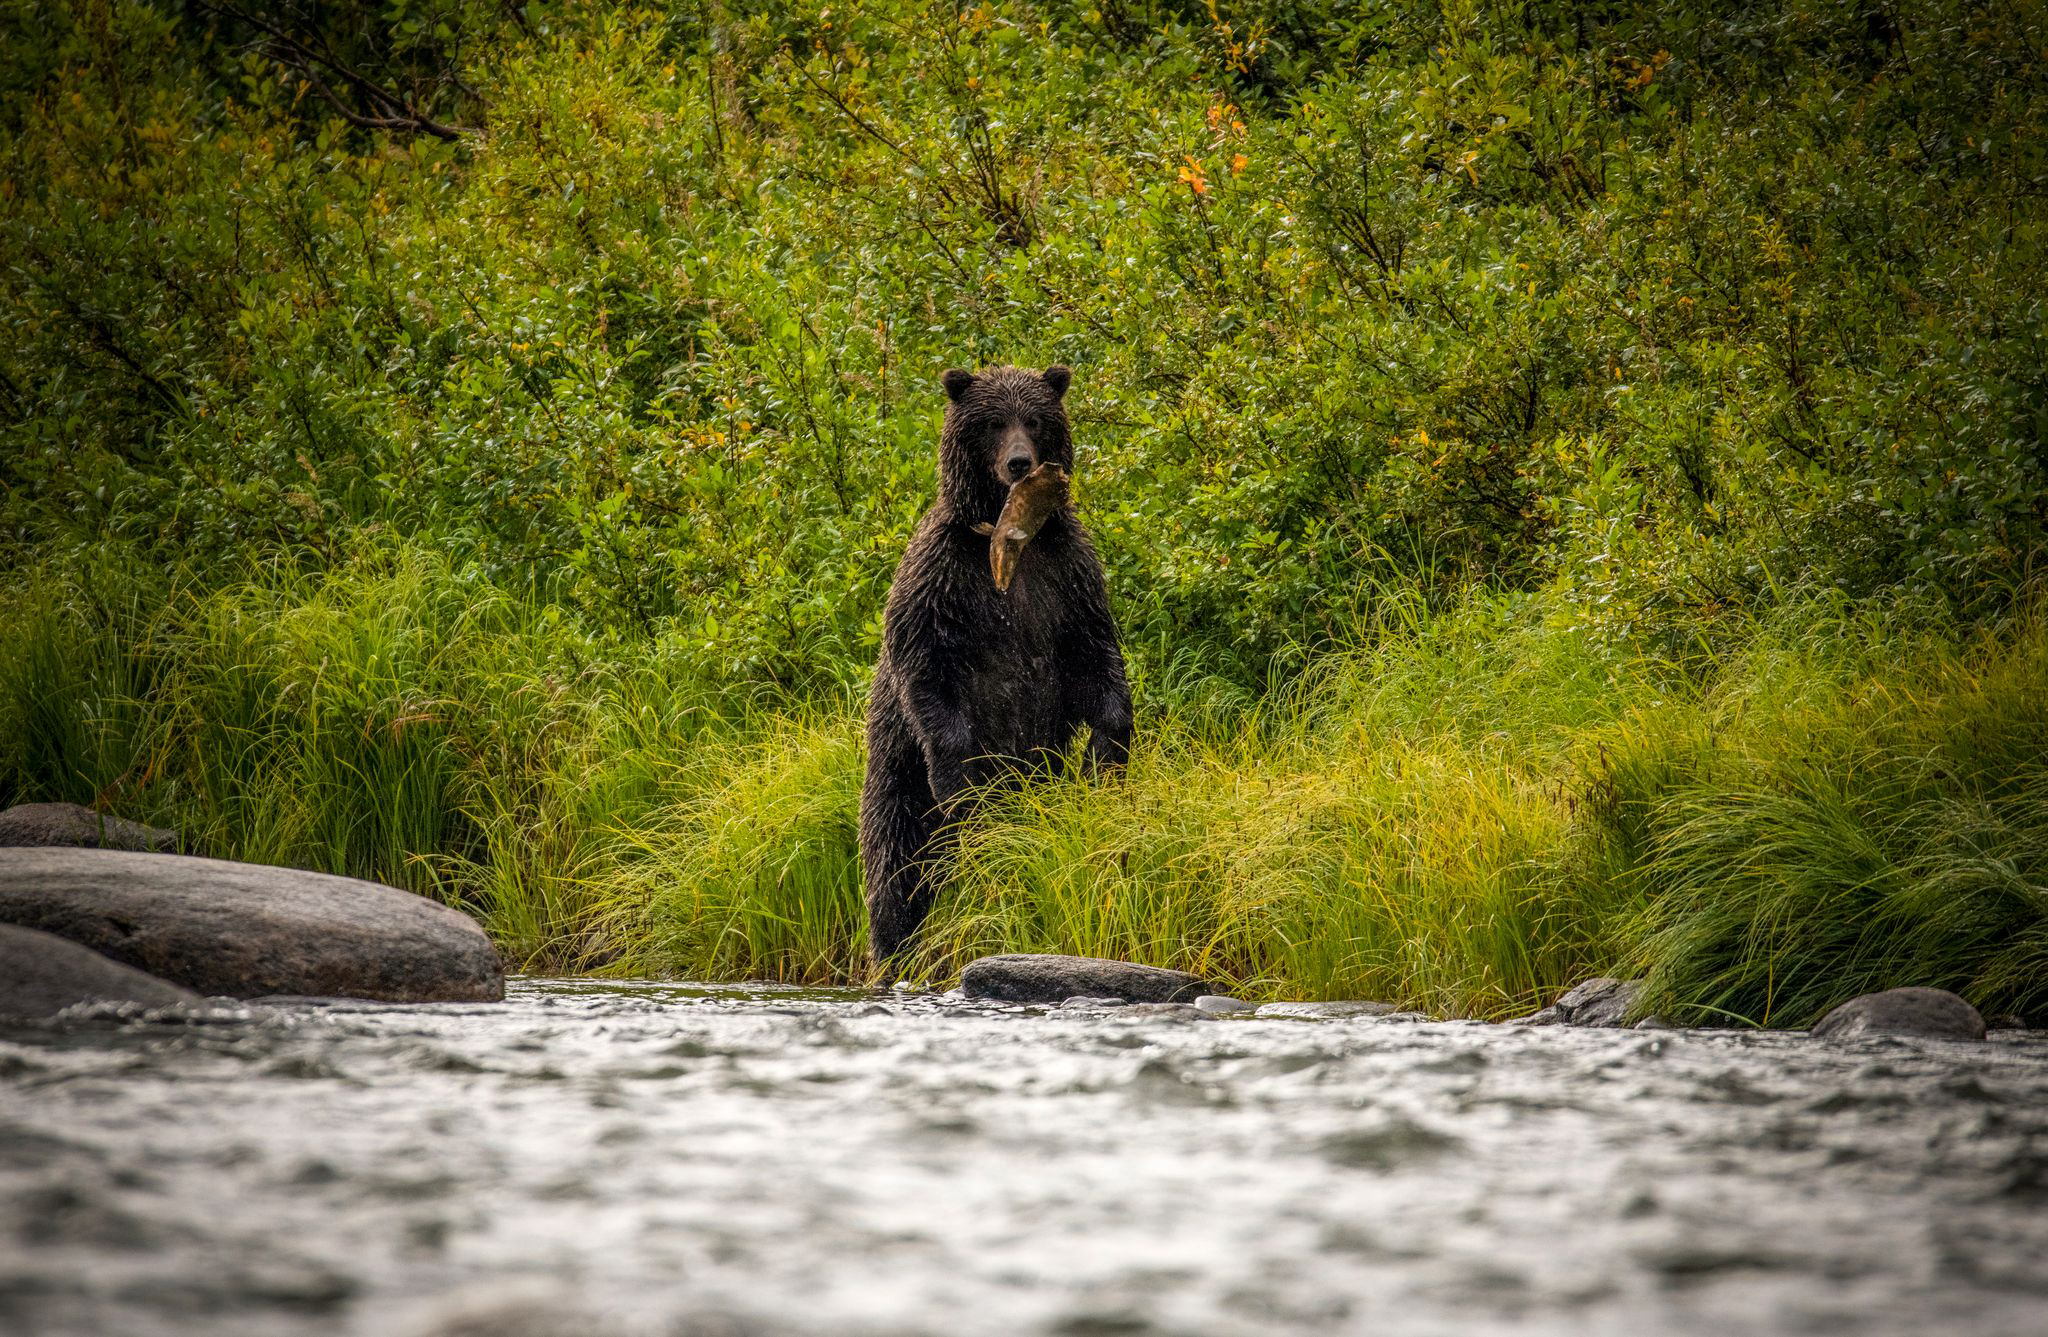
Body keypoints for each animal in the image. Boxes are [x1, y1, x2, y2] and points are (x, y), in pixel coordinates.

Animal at [859, 364, 1133, 963]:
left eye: (1034, 419)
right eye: (991, 423)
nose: (1020, 463)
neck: (1010, 537)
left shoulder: (1067, 580)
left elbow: (1096, 663)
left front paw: (1105, 756)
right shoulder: (941, 581)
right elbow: (928, 673)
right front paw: (959, 777)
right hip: (896, 779)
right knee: (896, 862)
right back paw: (894, 946)